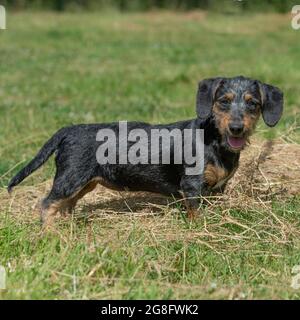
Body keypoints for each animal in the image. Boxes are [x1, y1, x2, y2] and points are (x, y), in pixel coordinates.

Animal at [7, 76, 284, 224]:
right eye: (223, 102)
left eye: (253, 104)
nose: (237, 128)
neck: (214, 140)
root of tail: (69, 130)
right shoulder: (192, 186)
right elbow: (195, 213)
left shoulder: (218, 189)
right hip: (71, 178)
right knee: (47, 204)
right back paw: (50, 232)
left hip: (84, 183)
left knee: (64, 205)